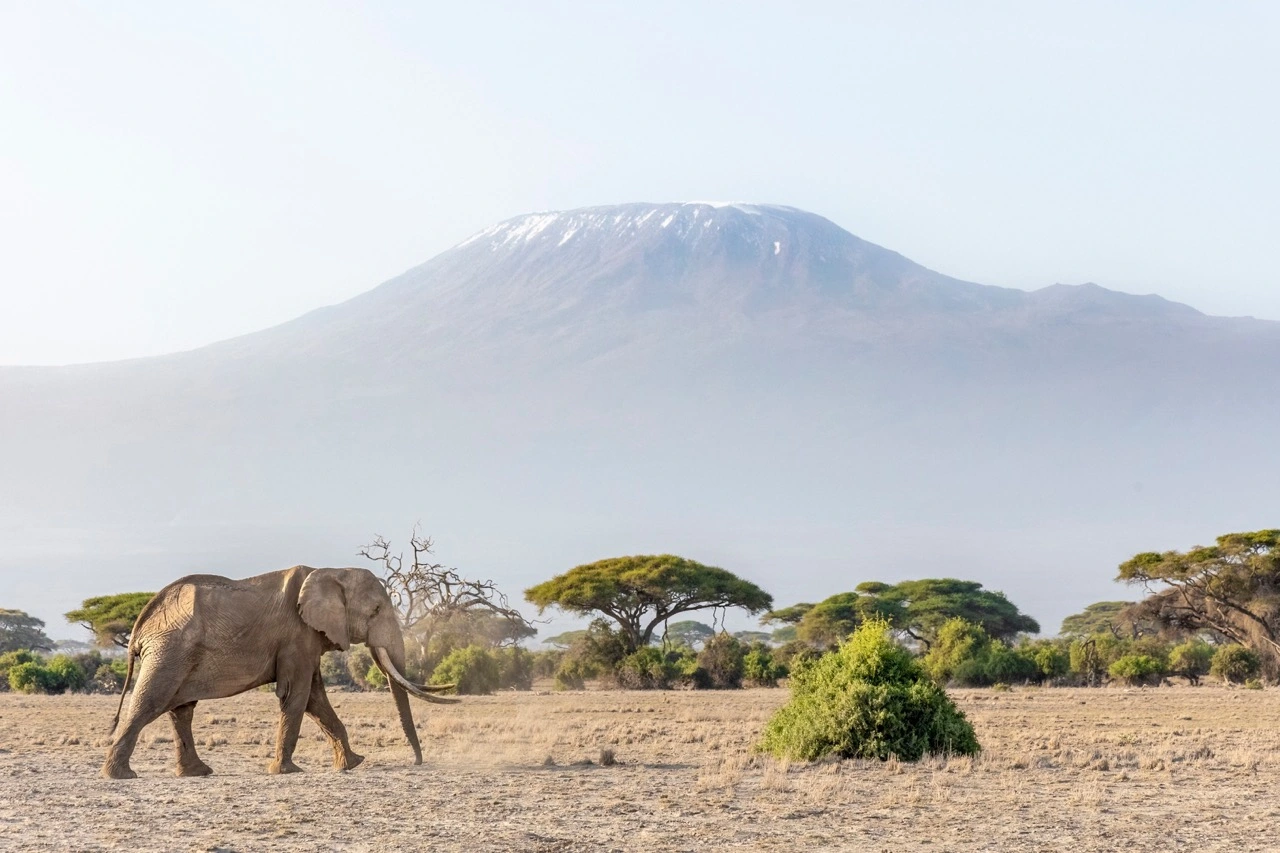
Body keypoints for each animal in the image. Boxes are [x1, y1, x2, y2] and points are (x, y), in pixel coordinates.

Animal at [101, 565, 456, 779]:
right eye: (376, 610)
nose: (417, 763)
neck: (330, 571)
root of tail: (140, 624)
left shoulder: (308, 639)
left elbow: (315, 699)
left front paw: (352, 764)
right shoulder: (297, 635)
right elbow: (297, 695)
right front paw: (287, 771)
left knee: (181, 709)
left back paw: (197, 772)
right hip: (170, 650)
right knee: (150, 702)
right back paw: (121, 775)